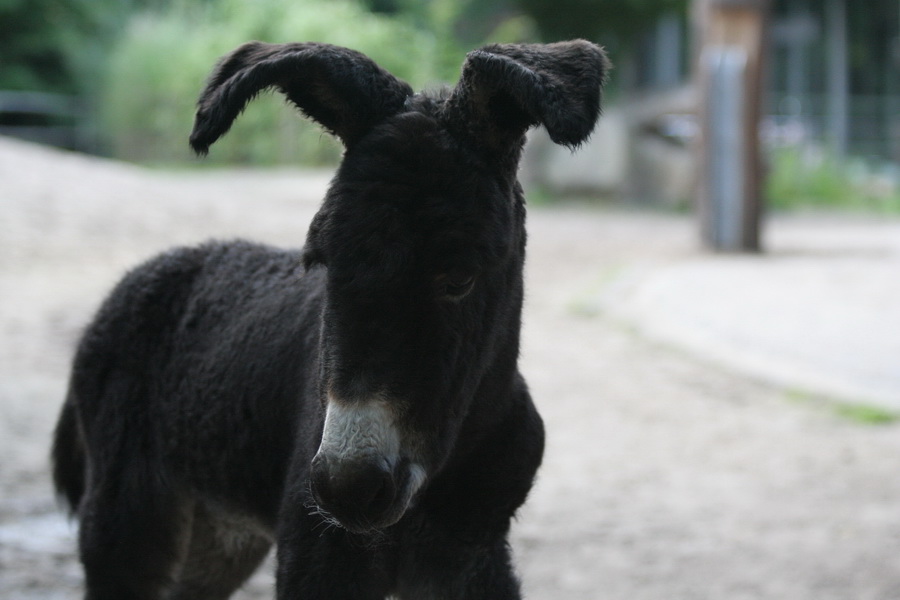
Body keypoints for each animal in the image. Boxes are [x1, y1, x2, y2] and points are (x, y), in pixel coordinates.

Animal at [52, 40, 609, 600]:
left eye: (459, 277)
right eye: (321, 260)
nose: (349, 488)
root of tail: (140, 277)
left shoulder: (471, 556)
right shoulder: (318, 556)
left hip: (219, 536)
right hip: (127, 519)